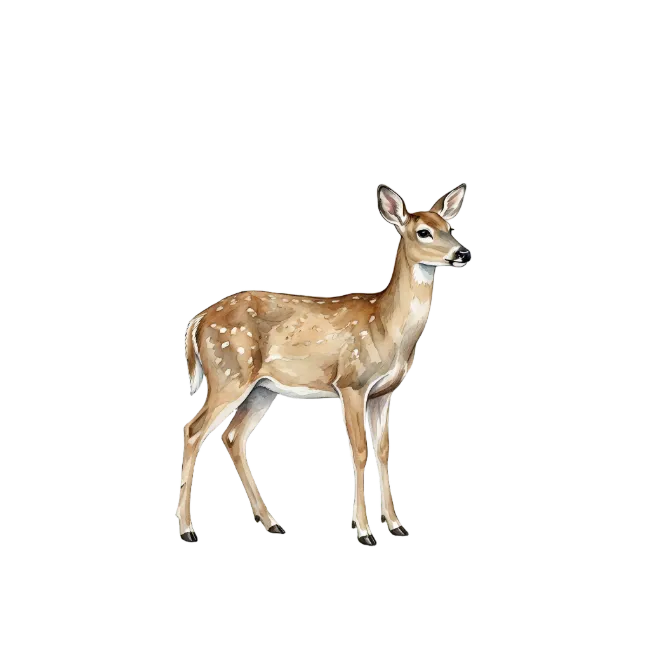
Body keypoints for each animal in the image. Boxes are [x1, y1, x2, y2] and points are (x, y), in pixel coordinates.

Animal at [178, 182, 471, 545]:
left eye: (451, 228)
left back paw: (270, 522)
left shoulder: (384, 392)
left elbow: (383, 451)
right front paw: (364, 531)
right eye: (424, 232)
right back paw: (187, 529)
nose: (462, 253)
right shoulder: (351, 383)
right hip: (228, 374)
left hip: (261, 388)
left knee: (232, 435)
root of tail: (197, 320)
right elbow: (359, 451)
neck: (387, 327)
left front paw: (396, 526)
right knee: (193, 430)